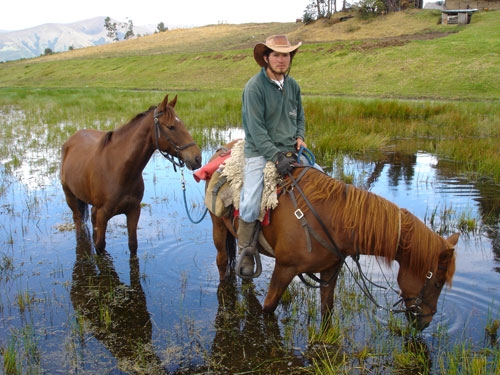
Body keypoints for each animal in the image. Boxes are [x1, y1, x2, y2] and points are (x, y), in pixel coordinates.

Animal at [61, 94, 202, 256]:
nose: (197, 158)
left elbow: (133, 245)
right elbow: (100, 247)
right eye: (171, 127)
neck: (118, 169)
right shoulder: (103, 215)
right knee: (78, 220)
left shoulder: (134, 211)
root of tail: (71, 140)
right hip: (70, 196)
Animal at [207, 142, 458, 330]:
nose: (426, 321)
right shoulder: (284, 268)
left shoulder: (330, 271)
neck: (331, 219)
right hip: (218, 227)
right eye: (437, 283)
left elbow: (327, 311)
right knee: (221, 261)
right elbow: (268, 308)